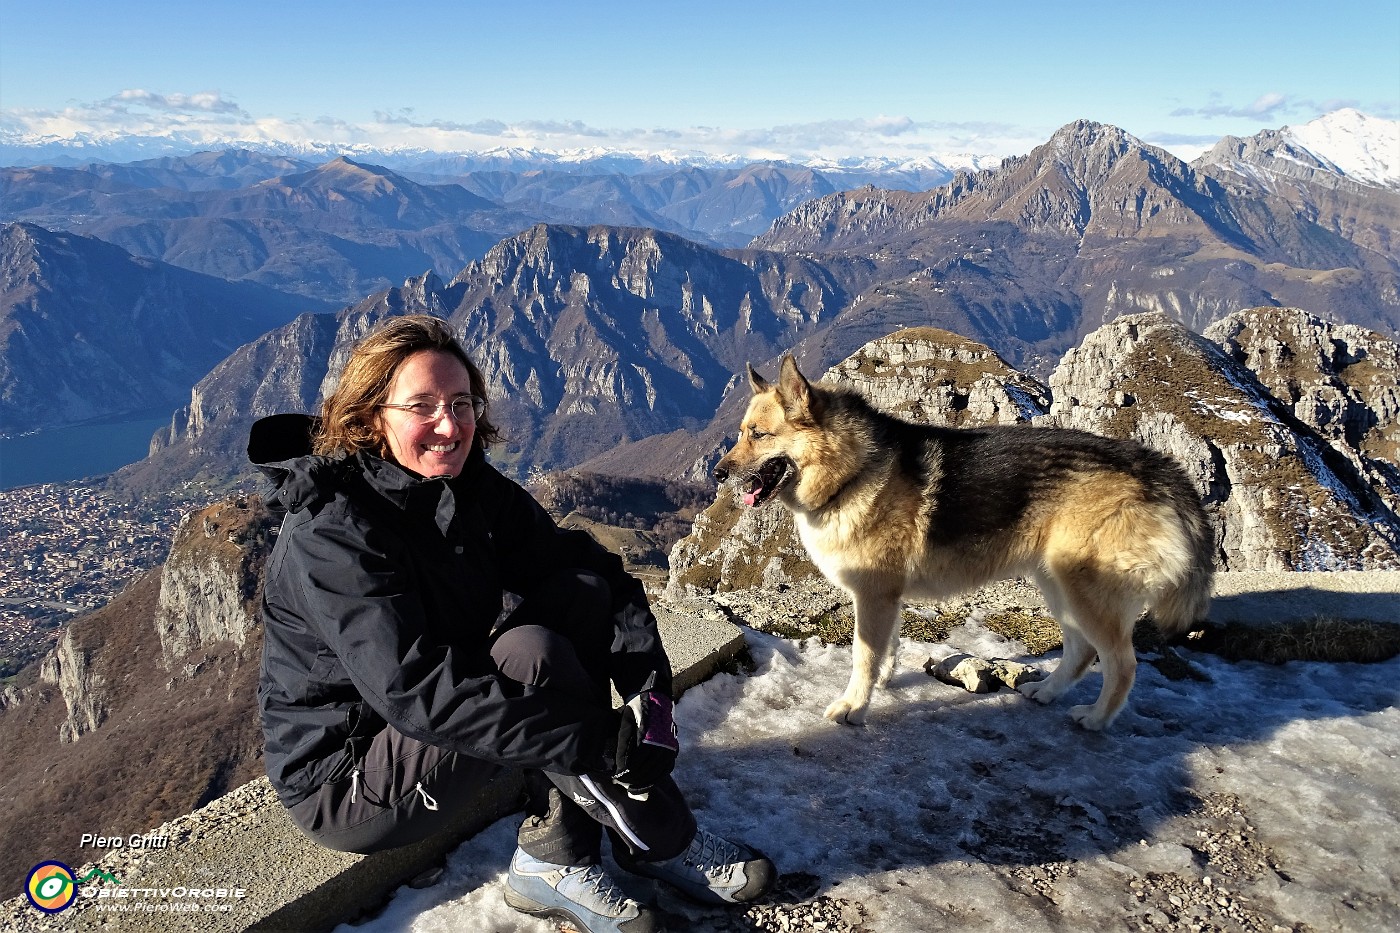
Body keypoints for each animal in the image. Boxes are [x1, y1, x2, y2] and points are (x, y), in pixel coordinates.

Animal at [711, 354, 1215, 728]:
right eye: (739, 434)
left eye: (758, 435)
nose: (718, 474)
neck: (851, 471)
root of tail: (1155, 467)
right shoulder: (887, 598)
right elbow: (885, 651)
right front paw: (883, 683)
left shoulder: (874, 595)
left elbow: (863, 656)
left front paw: (855, 705)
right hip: (1059, 585)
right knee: (1081, 651)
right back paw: (1047, 693)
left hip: (1085, 591)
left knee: (1120, 664)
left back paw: (1096, 719)